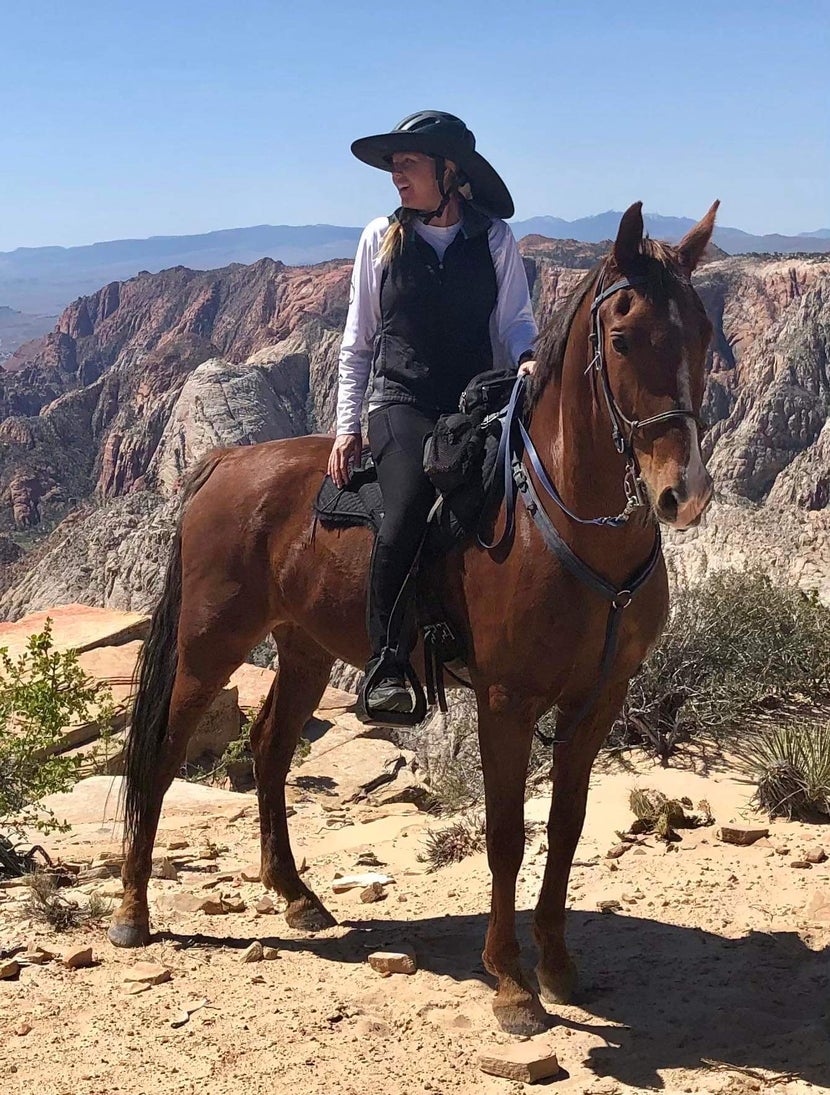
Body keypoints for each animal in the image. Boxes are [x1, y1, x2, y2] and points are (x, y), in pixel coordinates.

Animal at [110, 203, 722, 1033]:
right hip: (209, 648)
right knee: (163, 755)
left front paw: (559, 966)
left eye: (703, 333)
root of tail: (226, 463)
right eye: (624, 337)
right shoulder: (506, 701)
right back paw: (133, 912)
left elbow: (564, 828)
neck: (560, 523)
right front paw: (512, 984)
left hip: (304, 648)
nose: (682, 493)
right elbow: (506, 836)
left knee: (269, 748)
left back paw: (297, 895)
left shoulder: (599, 700)